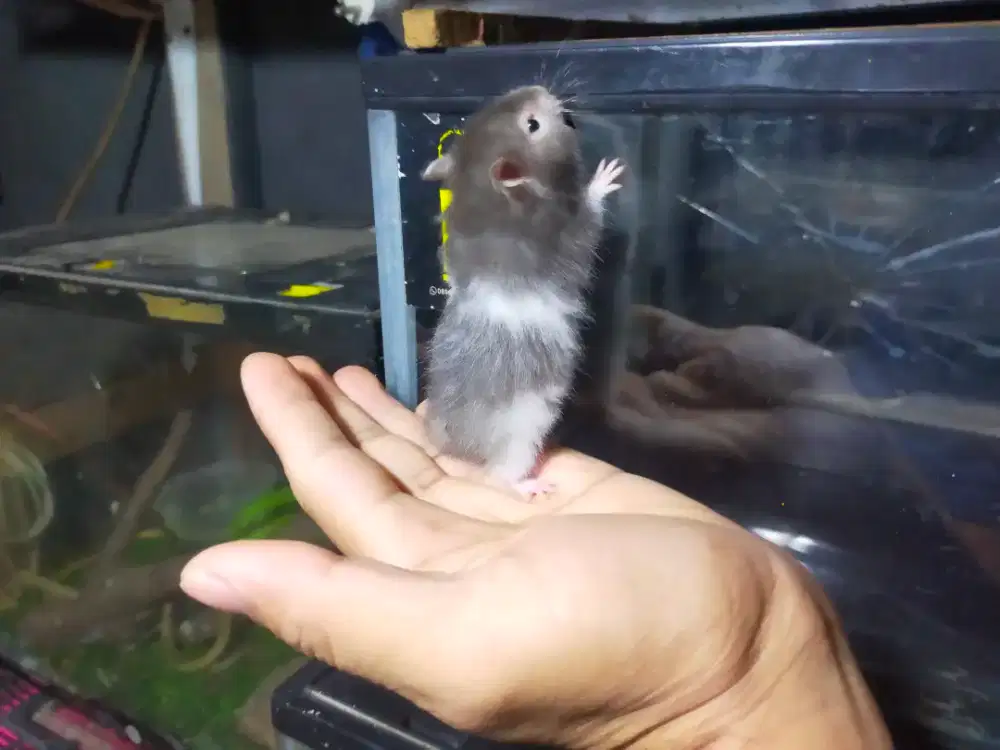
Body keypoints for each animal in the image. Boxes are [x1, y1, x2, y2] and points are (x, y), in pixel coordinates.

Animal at [420, 85, 624, 497]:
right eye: (532, 125)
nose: (541, 89)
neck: (484, 198)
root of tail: (456, 447)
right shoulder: (566, 241)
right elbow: (590, 220)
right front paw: (605, 177)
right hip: (522, 434)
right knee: (498, 476)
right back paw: (530, 487)